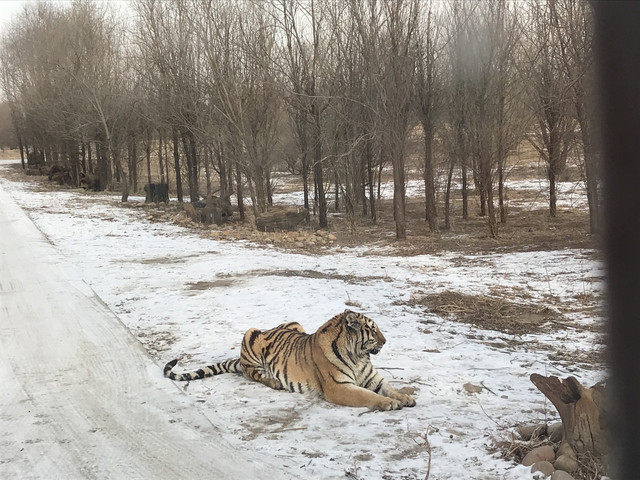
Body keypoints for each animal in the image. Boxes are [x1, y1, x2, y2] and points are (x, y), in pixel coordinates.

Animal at [164, 310, 416, 411]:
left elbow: (389, 388)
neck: (358, 356)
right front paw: (389, 403)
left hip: (293, 323)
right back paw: (273, 381)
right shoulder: (339, 387)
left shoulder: (373, 378)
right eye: (372, 330)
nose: (385, 341)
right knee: (252, 373)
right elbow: (367, 395)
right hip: (250, 334)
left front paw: (404, 397)